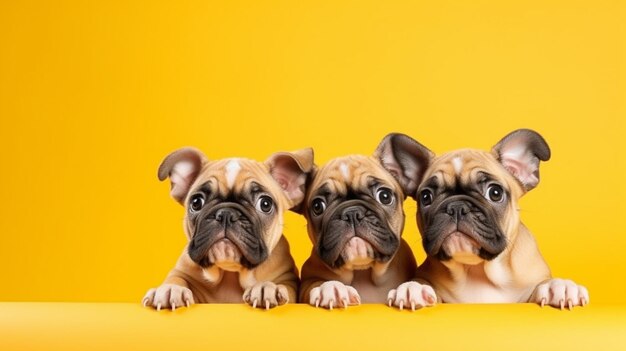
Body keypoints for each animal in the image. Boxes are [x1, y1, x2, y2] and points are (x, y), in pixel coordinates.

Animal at [144, 147, 314, 312]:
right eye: (196, 202)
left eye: (265, 204)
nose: (226, 214)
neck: (229, 273)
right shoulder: (182, 270)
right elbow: (176, 277)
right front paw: (170, 289)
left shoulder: (287, 278)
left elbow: (283, 286)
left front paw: (266, 288)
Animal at [298, 136, 428, 310]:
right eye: (318, 206)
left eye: (385, 196)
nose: (352, 213)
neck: (363, 273)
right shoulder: (307, 282)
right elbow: (313, 283)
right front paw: (330, 288)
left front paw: (412, 288)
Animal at [388, 130, 588, 310]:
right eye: (426, 197)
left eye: (495, 193)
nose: (456, 207)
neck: (477, 271)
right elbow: (422, 282)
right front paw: (413, 288)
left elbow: (541, 285)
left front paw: (559, 286)